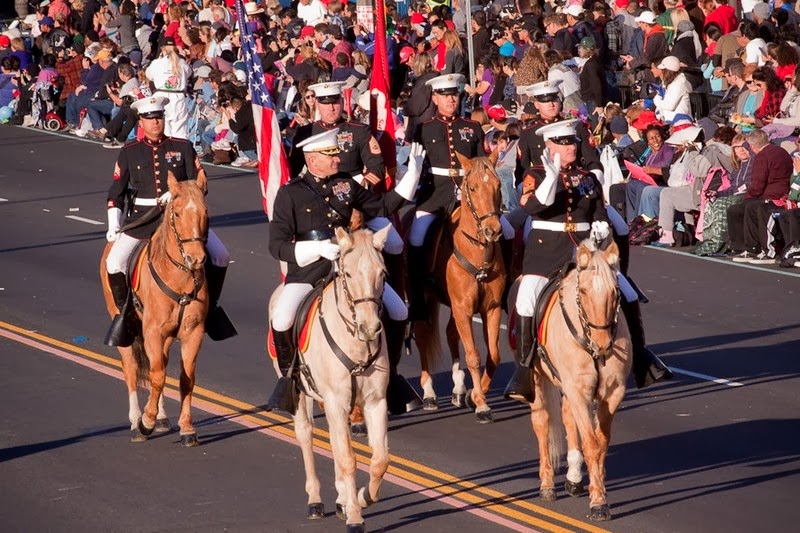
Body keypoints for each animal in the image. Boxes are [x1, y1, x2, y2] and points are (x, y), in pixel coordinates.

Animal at [100, 170, 209, 444]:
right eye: (177, 213)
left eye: (206, 212)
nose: (196, 259)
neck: (179, 276)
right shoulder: (152, 332)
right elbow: (157, 375)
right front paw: (145, 422)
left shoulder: (193, 332)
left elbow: (185, 379)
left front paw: (186, 427)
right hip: (125, 327)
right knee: (132, 368)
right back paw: (135, 419)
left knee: (158, 364)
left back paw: (160, 416)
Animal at [270, 227, 392, 528]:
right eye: (347, 273)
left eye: (382, 273)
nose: (370, 327)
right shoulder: (336, 401)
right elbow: (348, 458)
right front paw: (355, 517)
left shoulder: (374, 402)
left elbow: (379, 460)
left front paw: (360, 498)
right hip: (300, 395)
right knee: (306, 434)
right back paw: (315, 500)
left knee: (337, 445)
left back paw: (341, 499)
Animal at [412, 152, 506, 422]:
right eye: (472, 187)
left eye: (498, 186)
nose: (493, 230)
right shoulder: (463, 308)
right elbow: (473, 356)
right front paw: (482, 404)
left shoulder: (490, 308)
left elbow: (493, 355)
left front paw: (475, 395)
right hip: (422, 300)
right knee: (423, 336)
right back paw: (429, 393)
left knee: (450, 333)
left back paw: (459, 388)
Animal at [532, 240, 632, 520]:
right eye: (584, 291)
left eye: (615, 291)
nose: (603, 345)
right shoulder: (578, 390)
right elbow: (591, 442)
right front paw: (598, 502)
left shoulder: (612, 393)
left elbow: (601, 441)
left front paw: (597, 487)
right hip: (538, 378)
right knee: (542, 421)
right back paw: (547, 486)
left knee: (567, 416)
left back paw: (574, 477)